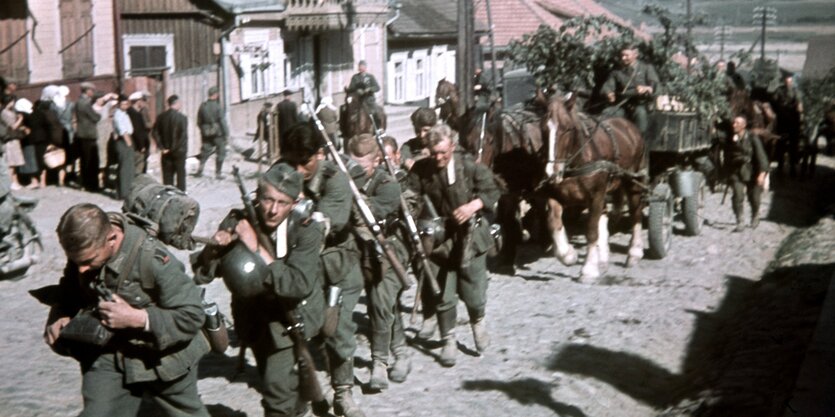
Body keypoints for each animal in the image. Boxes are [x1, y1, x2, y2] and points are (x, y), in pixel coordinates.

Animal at [540, 92, 648, 282]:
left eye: (566, 128)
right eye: (543, 129)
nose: (551, 173)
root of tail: (629, 126)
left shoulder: (595, 196)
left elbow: (591, 230)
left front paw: (588, 269)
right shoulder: (556, 195)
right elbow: (553, 222)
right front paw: (568, 255)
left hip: (633, 181)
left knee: (636, 213)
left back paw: (634, 252)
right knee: (605, 215)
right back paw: (603, 257)